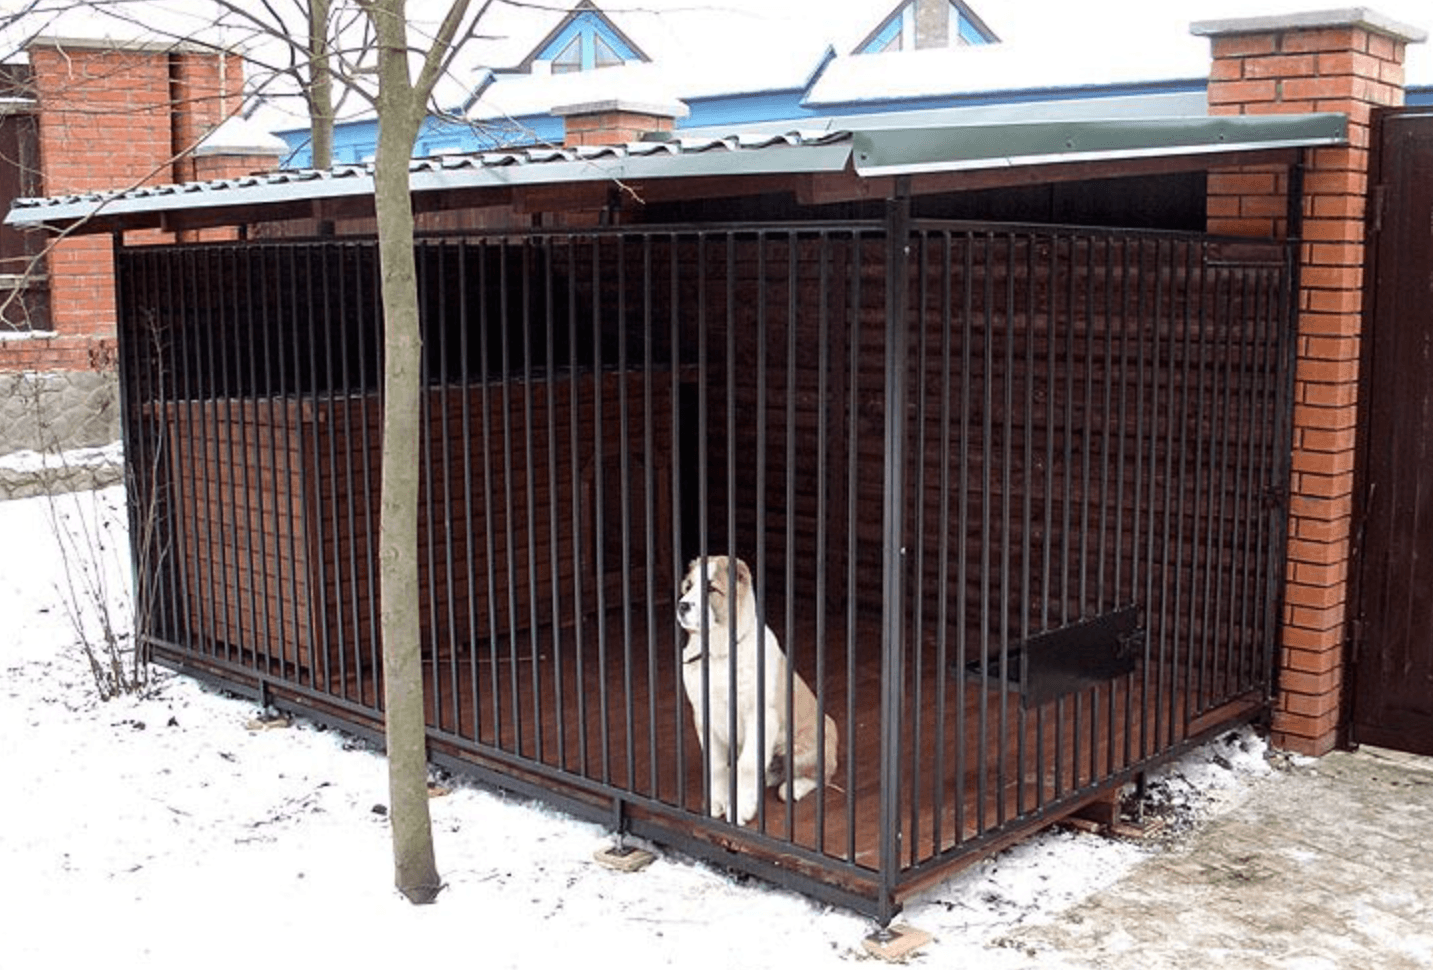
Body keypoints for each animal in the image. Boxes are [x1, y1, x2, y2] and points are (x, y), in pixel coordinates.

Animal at [673, 555, 836, 819]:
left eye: (711, 589)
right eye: (688, 587)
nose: (682, 606)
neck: (719, 653)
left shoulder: (761, 716)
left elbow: (748, 765)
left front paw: (741, 808)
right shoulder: (703, 713)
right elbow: (715, 763)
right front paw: (717, 801)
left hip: (807, 745)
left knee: (820, 776)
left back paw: (793, 788)